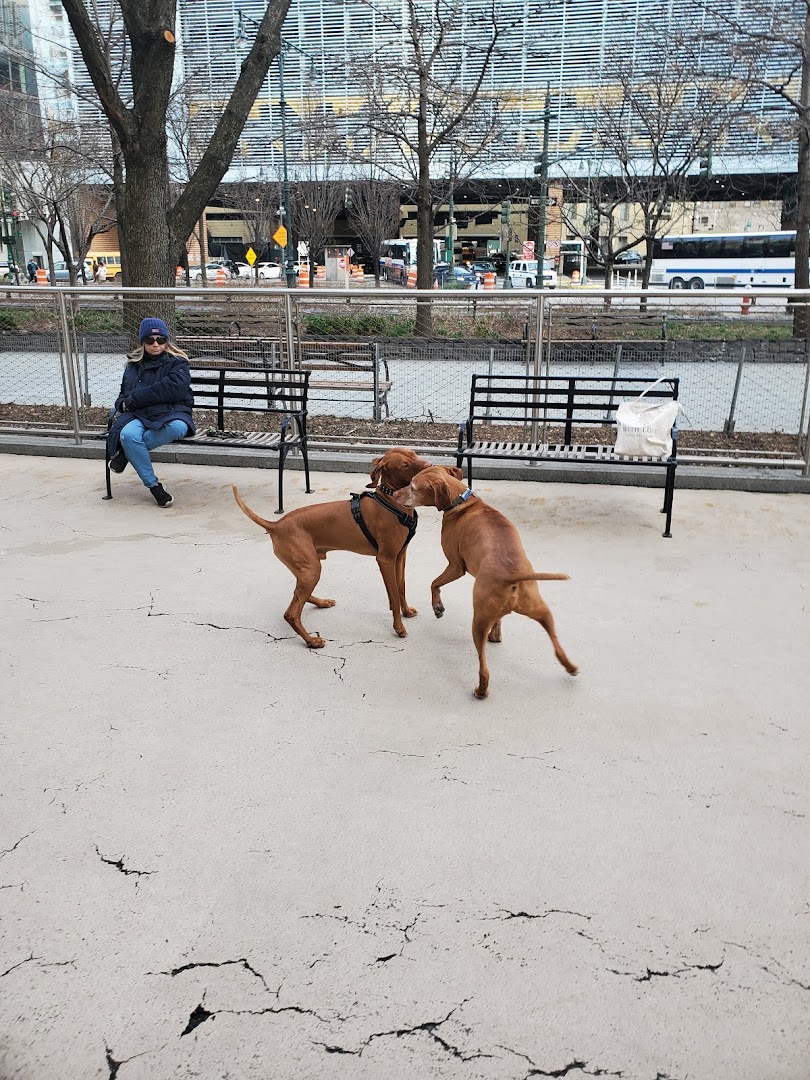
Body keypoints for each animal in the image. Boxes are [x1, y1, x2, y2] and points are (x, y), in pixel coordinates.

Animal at [233, 448, 431, 648]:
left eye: (414, 453)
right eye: (405, 465)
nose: (430, 465)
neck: (391, 502)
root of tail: (276, 525)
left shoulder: (400, 556)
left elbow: (401, 588)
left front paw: (406, 612)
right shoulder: (385, 559)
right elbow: (394, 596)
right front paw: (399, 628)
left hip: (306, 568)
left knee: (299, 595)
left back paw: (321, 602)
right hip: (312, 569)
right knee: (291, 613)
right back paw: (312, 640)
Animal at [396, 465, 578, 698]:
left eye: (412, 487)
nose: (394, 494)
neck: (462, 502)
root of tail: (512, 576)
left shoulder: (456, 566)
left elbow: (433, 583)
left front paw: (438, 607)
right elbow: (499, 620)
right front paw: (497, 634)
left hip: (478, 622)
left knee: (484, 668)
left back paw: (481, 690)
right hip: (542, 612)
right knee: (557, 646)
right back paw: (570, 667)